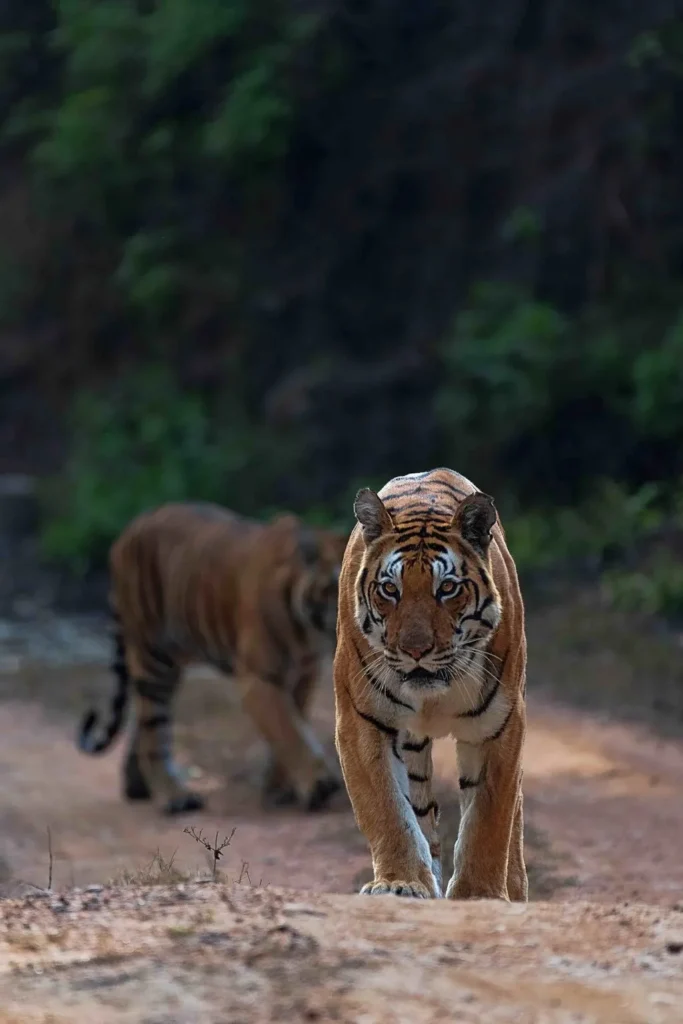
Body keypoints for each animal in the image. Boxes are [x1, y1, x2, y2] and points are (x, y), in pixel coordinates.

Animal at [77, 502, 347, 816]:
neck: (310, 631)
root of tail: (128, 531)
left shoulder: (303, 675)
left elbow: (292, 726)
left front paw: (279, 786)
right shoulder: (258, 678)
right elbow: (287, 729)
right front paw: (317, 783)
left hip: (171, 659)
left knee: (142, 723)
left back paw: (138, 786)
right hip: (152, 657)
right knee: (152, 733)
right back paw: (175, 796)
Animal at [333, 467, 527, 901]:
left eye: (448, 588)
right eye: (390, 589)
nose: (416, 650)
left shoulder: (499, 725)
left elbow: (489, 818)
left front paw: (480, 893)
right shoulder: (361, 720)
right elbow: (387, 809)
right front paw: (400, 882)